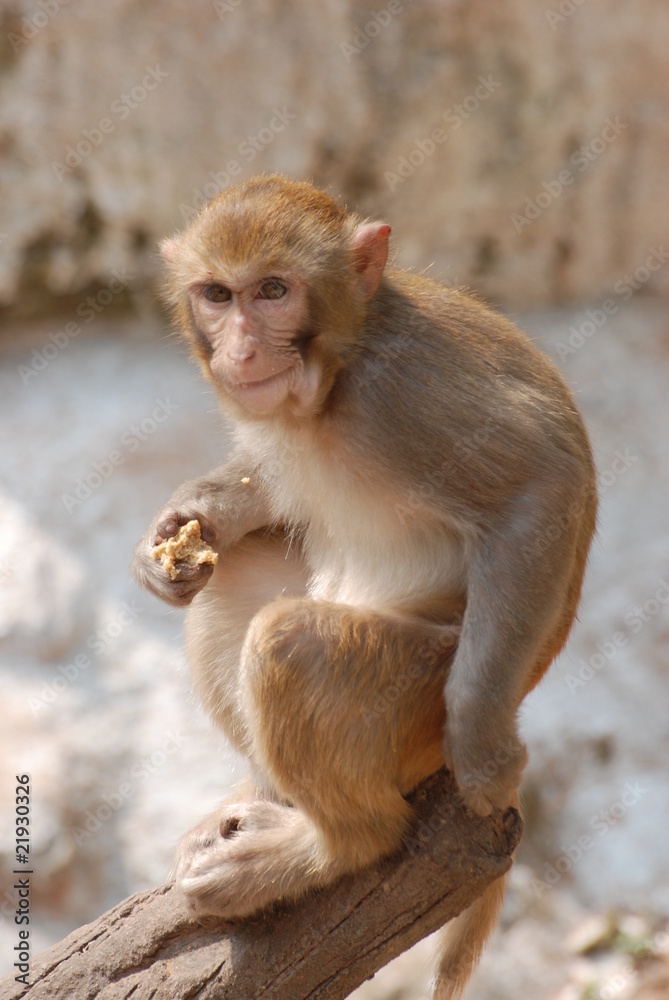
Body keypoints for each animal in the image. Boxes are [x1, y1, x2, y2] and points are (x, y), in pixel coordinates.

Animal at [132, 175, 596, 998]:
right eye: (218, 293)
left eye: (274, 290)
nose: (242, 349)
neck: (334, 378)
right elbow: (265, 493)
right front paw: (182, 530)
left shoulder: (402, 394)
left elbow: (540, 488)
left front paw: (486, 753)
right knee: (240, 576)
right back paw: (264, 795)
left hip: (408, 715)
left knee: (292, 642)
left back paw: (332, 848)